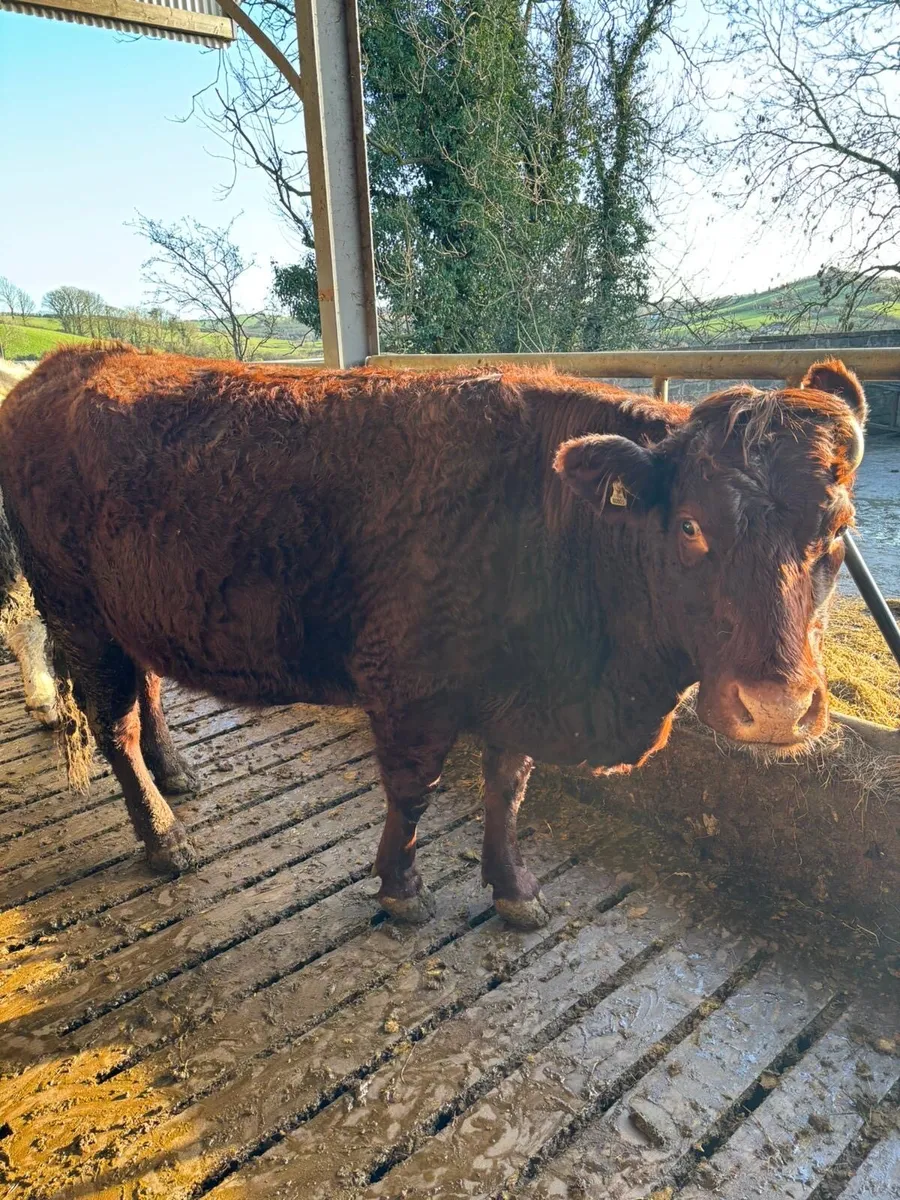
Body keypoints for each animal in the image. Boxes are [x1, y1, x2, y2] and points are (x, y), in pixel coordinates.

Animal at [0, 345, 865, 929]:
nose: (776, 709)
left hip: (131, 611)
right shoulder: (408, 687)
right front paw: (400, 888)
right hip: (75, 610)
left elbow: (507, 789)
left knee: (145, 688)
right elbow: (413, 790)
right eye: (689, 526)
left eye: (838, 530)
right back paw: (165, 836)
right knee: (111, 724)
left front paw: (514, 890)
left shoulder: (516, 689)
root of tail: (69, 361)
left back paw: (177, 773)